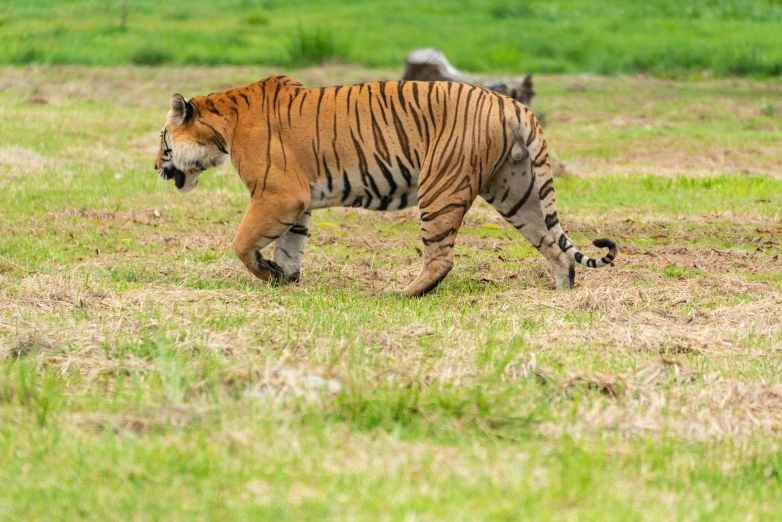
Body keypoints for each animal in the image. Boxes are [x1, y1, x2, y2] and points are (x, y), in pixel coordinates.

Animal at [155, 77, 620, 296]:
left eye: (162, 141)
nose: (156, 167)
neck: (221, 128)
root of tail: (510, 101)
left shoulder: (278, 195)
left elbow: (241, 243)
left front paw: (268, 273)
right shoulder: (296, 204)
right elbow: (290, 246)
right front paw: (283, 278)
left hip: (440, 185)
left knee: (441, 256)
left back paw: (402, 294)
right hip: (515, 190)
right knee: (555, 245)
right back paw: (562, 293)